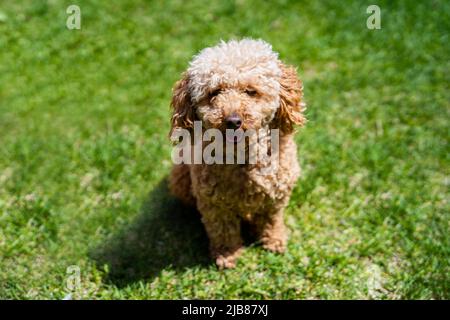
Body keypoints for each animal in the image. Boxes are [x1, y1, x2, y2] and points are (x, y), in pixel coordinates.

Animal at [168, 38, 306, 268]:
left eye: (250, 91)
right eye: (215, 92)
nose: (233, 121)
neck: (244, 158)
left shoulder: (276, 195)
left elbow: (271, 220)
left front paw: (274, 241)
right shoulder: (214, 203)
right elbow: (222, 230)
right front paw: (227, 255)